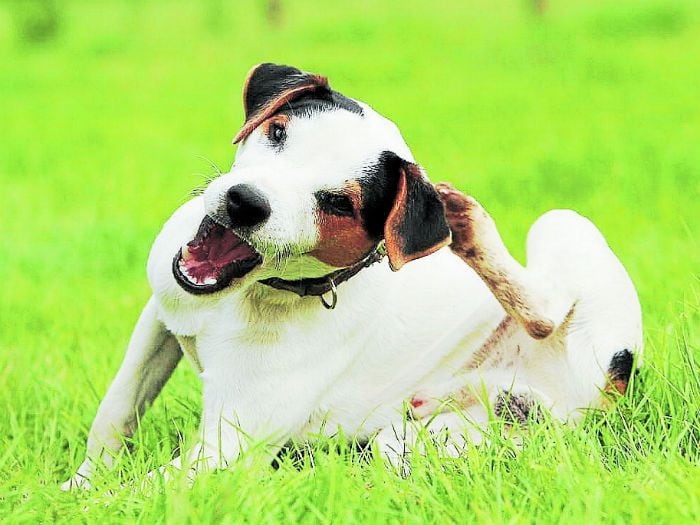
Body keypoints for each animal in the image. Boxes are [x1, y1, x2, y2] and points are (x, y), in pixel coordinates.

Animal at [63, 63, 644, 490]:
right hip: (418, 441)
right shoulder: (161, 317)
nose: (244, 201)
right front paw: (86, 478)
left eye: (339, 203)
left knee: (545, 312)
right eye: (277, 132)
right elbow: (116, 412)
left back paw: (470, 228)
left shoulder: (228, 449)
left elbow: (135, 490)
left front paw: (71, 499)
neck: (245, 295)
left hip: (564, 230)